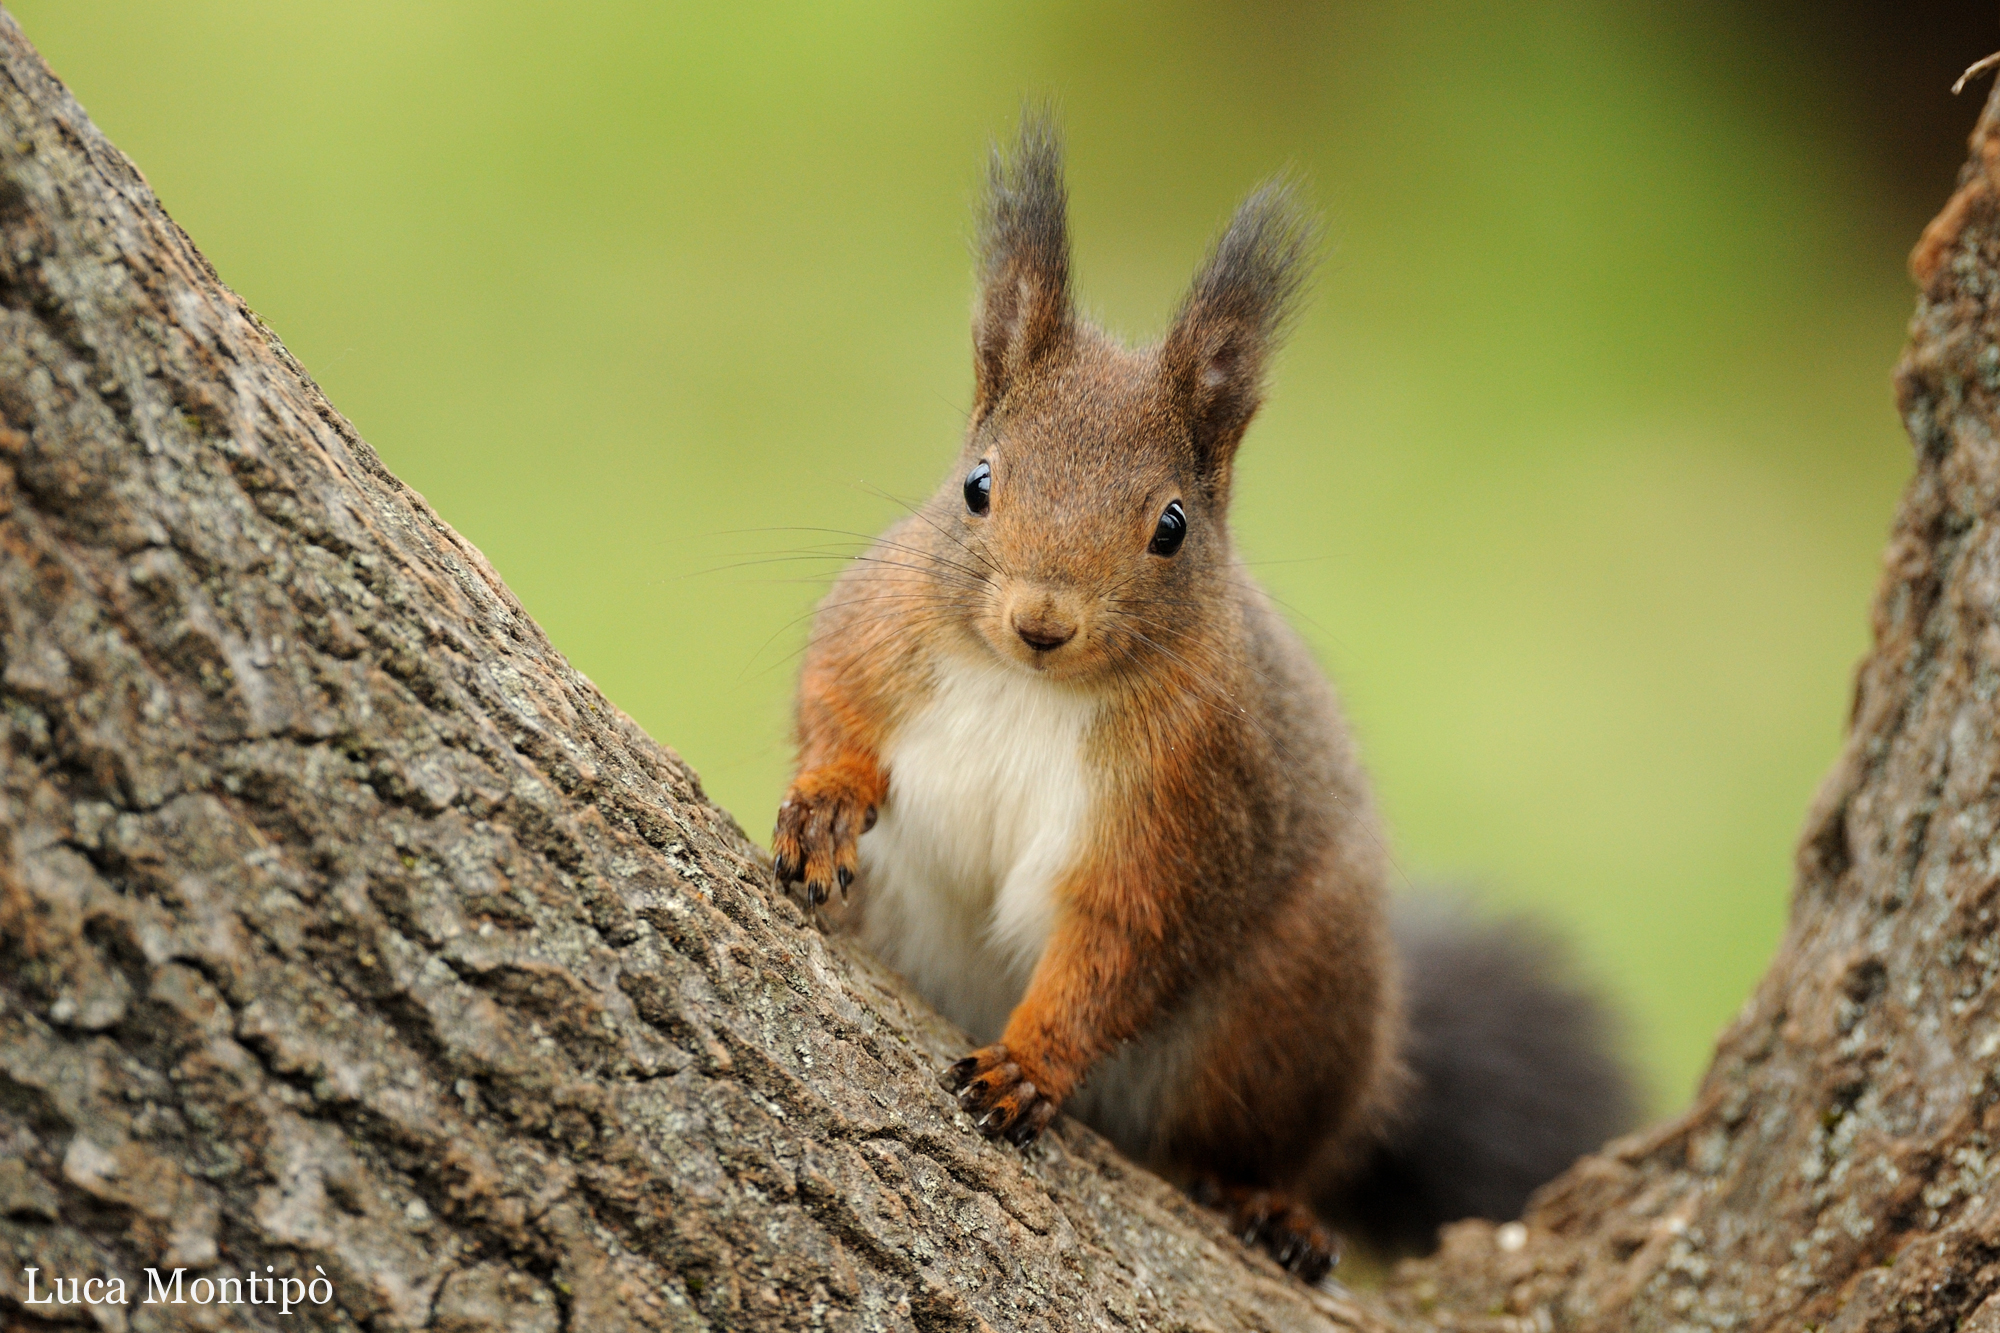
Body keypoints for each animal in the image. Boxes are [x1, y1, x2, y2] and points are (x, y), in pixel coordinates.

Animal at [772, 113, 1633, 1280]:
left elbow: (1121, 940)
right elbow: (832, 700)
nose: (1042, 618)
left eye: (1170, 526)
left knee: (1258, 1140)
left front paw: (1029, 1063)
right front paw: (822, 805)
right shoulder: (881, 628)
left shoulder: (1193, 795)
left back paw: (1267, 1203)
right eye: (978, 484)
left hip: (1290, 1014)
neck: (1027, 686)